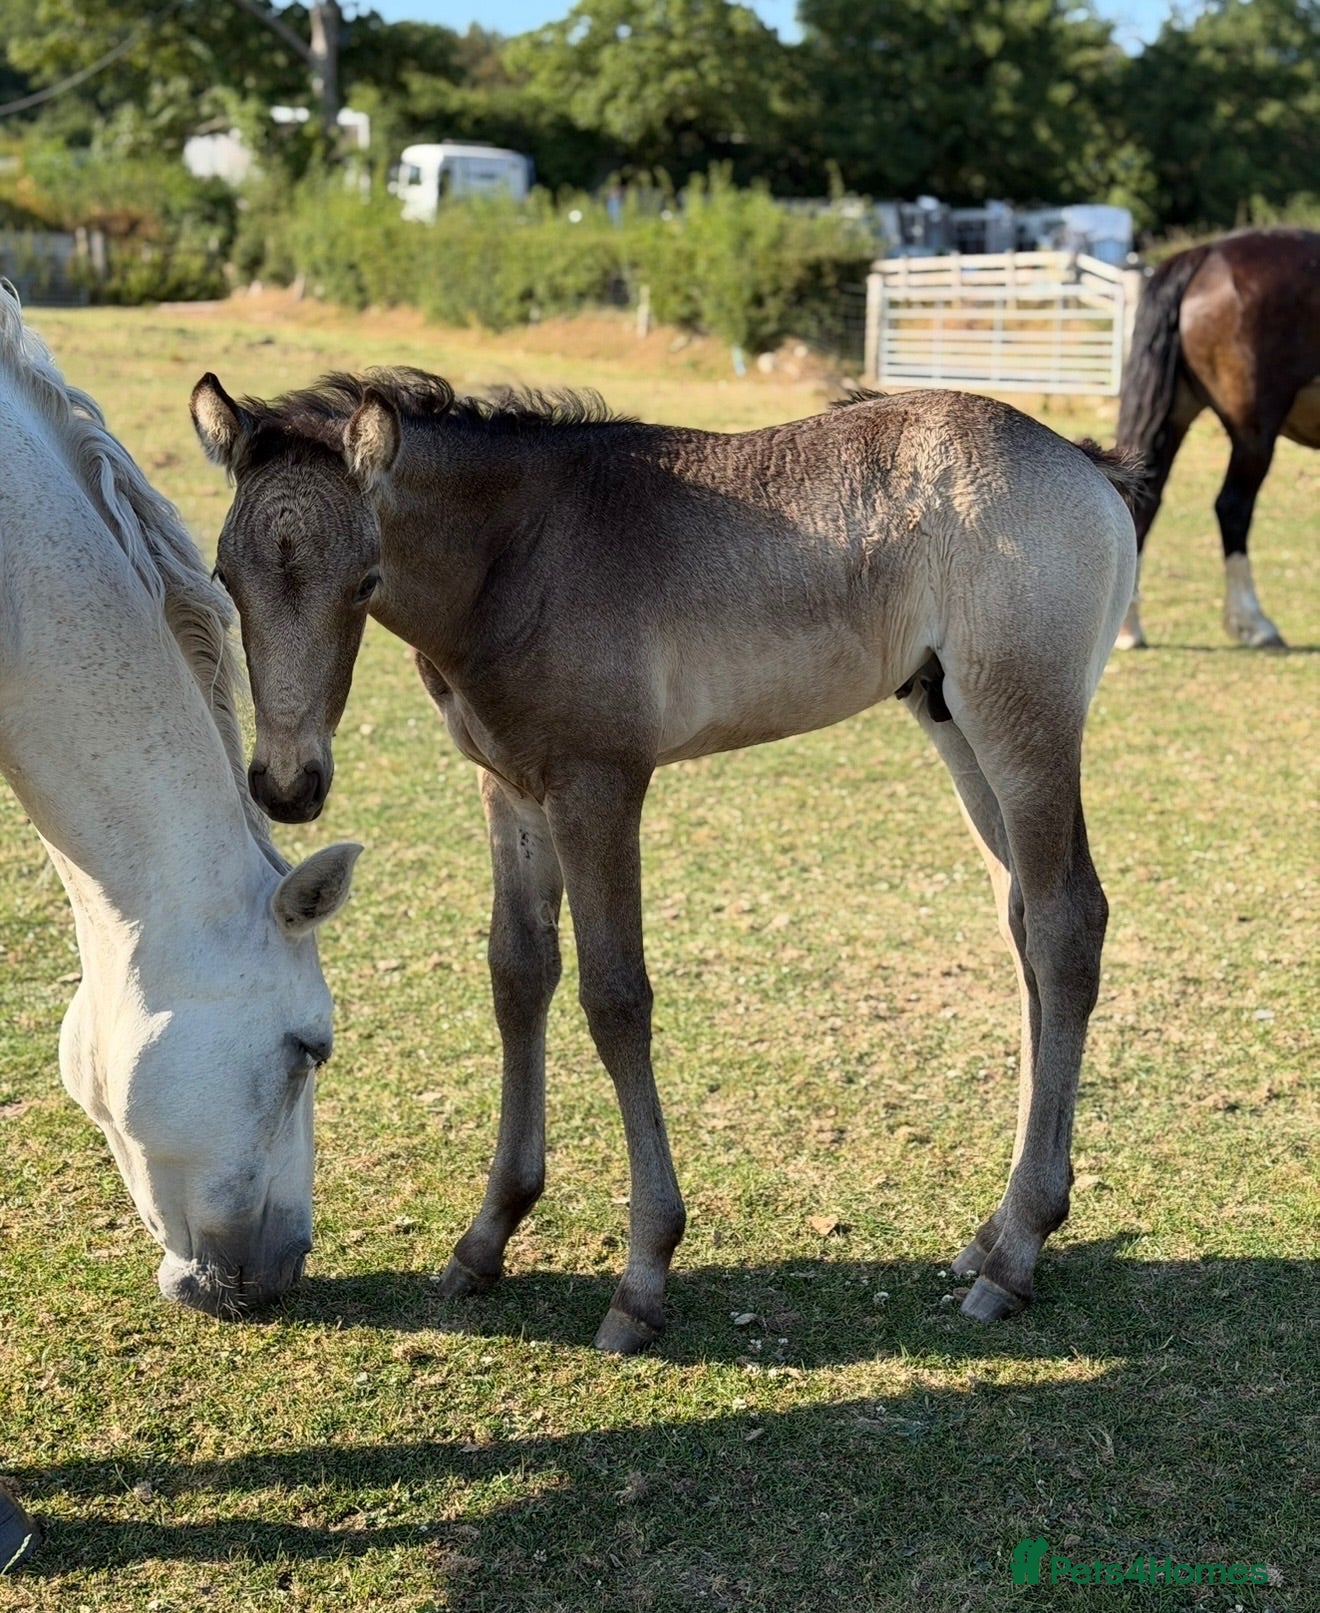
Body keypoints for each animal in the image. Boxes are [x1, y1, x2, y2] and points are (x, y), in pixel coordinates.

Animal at [190, 368, 1137, 1353]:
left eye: (365, 580)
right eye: (225, 576)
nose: (288, 783)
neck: (520, 551)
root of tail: (1081, 461)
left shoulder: (599, 786)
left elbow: (615, 999)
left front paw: (643, 1276)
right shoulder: (510, 791)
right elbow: (517, 976)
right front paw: (487, 1237)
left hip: (1022, 726)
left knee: (1067, 925)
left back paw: (1017, 1253)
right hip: (953, 722)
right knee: (1022, 927)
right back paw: (993, 1229)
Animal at [1115, 226, 1320, 649]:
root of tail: (1206, 254)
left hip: (1175, 415)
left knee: (1144, 502)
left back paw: (1129, 627)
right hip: (1253, 433)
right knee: (1233, 507)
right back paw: (1253, 623)